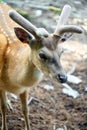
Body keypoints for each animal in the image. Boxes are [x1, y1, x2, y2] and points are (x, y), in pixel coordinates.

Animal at [0, 2, 83, 130]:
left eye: (62, 51)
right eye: (42, 54)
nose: (63, 77)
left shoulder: (25, 89)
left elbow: (25, 109)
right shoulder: (0, 85)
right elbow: (3, 107)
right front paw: (3, 126)